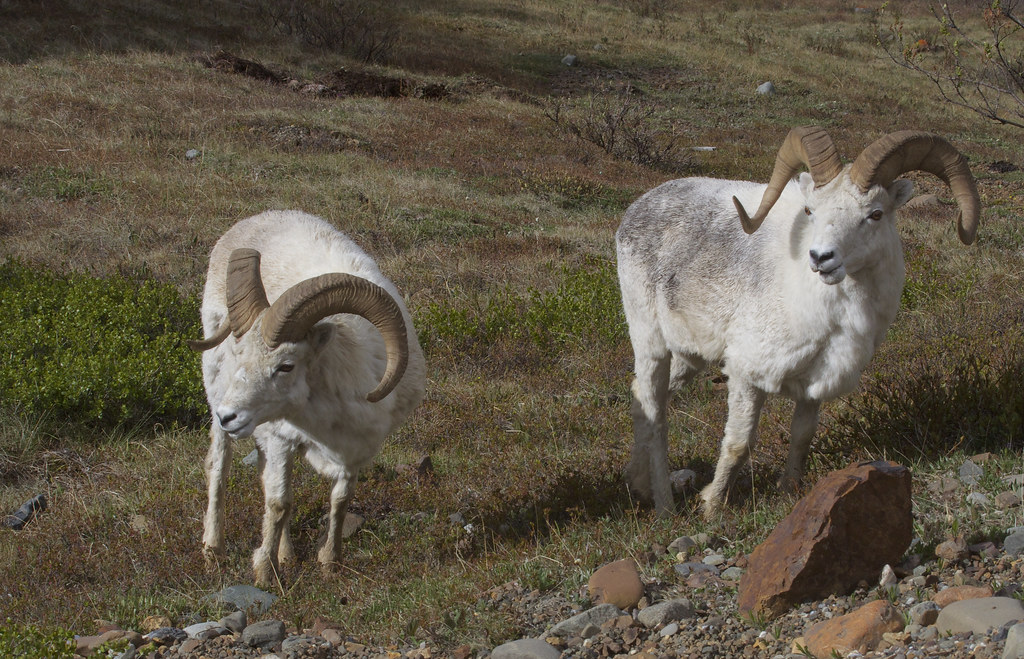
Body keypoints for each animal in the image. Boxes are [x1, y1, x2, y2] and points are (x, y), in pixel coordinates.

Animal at [190, 210, 426, 586]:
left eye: (286, 365)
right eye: (239, 354)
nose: (230, 417)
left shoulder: (353, 454)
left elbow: (340, 500)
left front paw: (329, 564)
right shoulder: (281, 438)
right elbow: (279, 503)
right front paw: (263, 575)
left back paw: (286, 556)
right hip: (218, 393)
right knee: (219, 467)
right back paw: (214, 551)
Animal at [615, 127, 980, 518]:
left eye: (876, 214)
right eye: (810, 210)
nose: (821, 258)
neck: (830, 318)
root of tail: (638, 208)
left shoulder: (813, 385)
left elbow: (802, 437)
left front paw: (789, 492)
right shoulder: (745, 375)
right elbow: (739, 444)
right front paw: (712, 508)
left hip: (689, 356)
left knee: (642, 399)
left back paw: (638, 485)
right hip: (651, 345)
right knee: (655, 412)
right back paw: (665, 508)